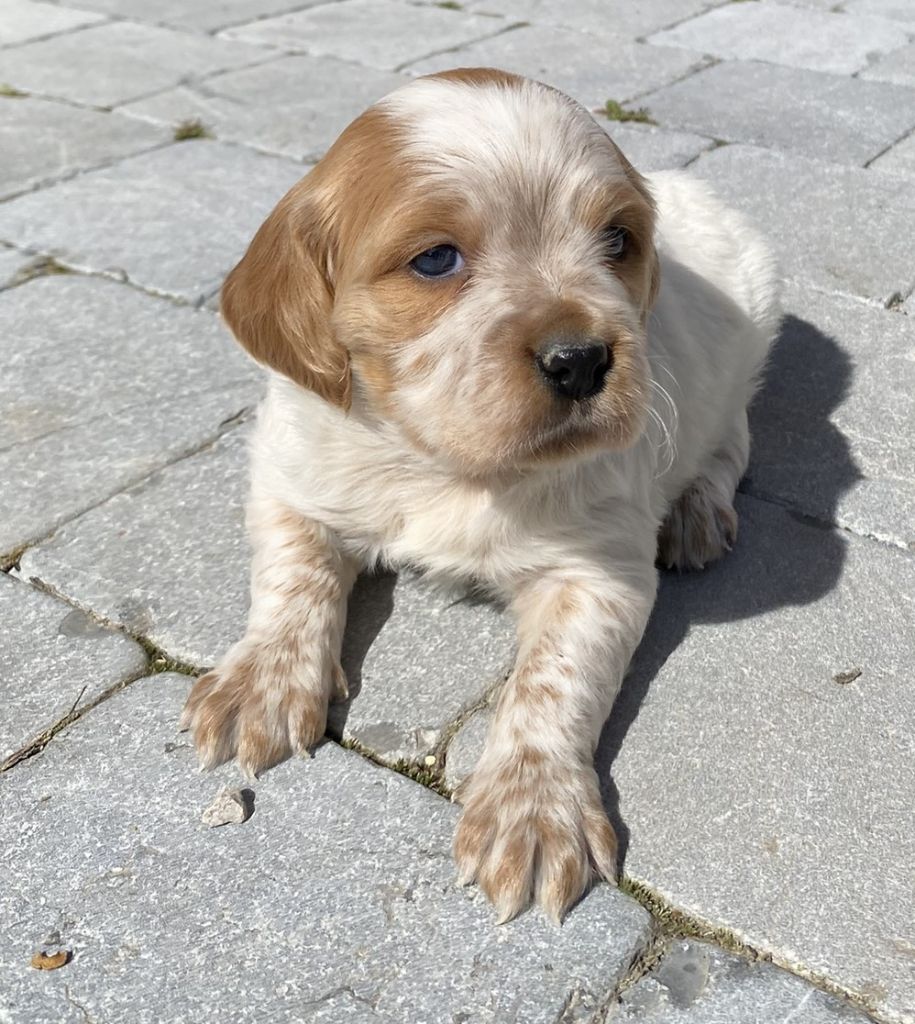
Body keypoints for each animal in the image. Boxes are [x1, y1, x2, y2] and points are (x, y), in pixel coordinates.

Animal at [181, 67, 780, 923]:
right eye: (435, 259)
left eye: (616, 241)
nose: (580, 360)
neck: (446, 466)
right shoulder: (286, 473)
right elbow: (291, 580)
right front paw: (257, 683)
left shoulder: (598, 571)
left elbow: (551, 684)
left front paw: (532, 813)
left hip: (750, 333)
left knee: (730, 437)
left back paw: (697, 512)